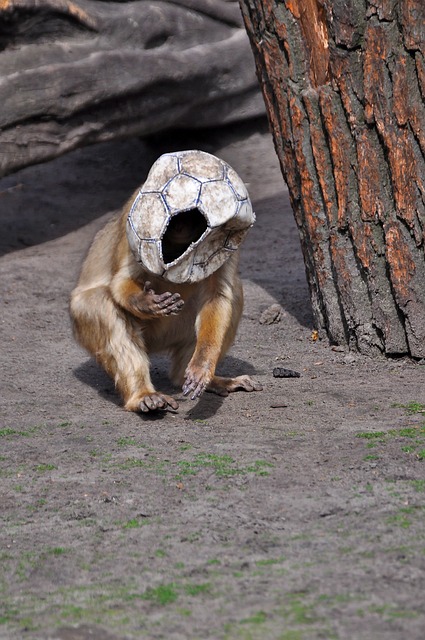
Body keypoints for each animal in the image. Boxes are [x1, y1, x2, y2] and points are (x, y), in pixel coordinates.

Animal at [70, 155, 262, 412]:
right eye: (175, 222)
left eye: (193, 222)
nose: (181, 228)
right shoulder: (133, 222)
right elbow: (120, 284)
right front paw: (145, 301)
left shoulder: (230, 243)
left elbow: (218, 296)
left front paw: (202, 366)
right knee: (99, 303)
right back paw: (142, 396)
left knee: (234, 294)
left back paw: (194, 378)